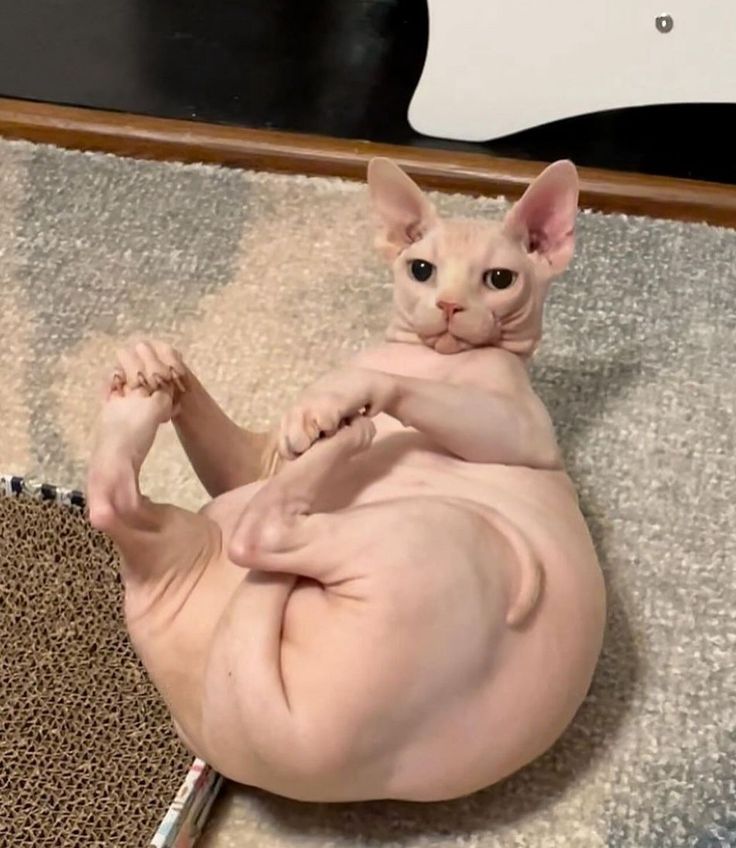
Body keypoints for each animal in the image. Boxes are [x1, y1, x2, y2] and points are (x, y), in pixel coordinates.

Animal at [86, 159, 604, 800]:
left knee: (255, 531)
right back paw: (140, 402)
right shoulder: (255, 464)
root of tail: (256, 744)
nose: (450, 306)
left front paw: (339, 397)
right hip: (190, 555)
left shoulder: (522, 431)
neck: (435, 357)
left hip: (429, 536)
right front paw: (165, 368)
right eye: (421, 269)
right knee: (118, 506)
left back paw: (342, 441)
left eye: (500, 279)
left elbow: (396, 386)